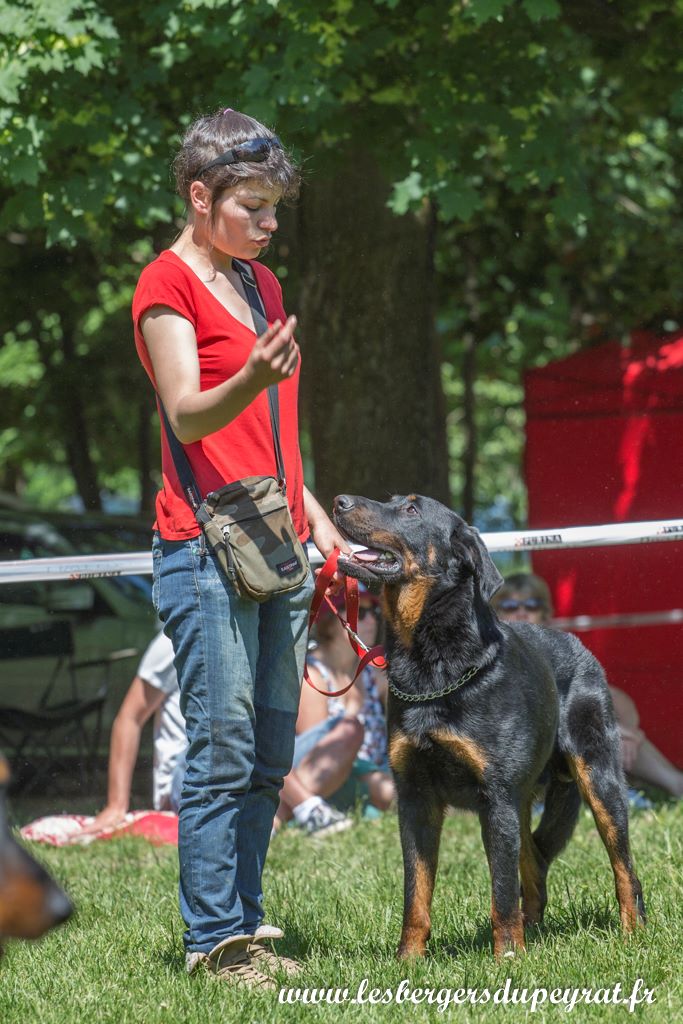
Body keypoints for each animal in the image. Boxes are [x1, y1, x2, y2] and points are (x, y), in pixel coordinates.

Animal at [333, 492, 645, 959]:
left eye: (411, 510)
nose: (339, 502)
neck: (433, 666)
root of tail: (579, 645)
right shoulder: (415, 799)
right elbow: (416, 892)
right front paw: (408, 960)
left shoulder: (495, 798)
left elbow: (500, 890)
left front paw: (508, 959)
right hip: (524, 800)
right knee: (533, 860)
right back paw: (534, 928)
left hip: (598, 776)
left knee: (622, 865)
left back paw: (631, 933)